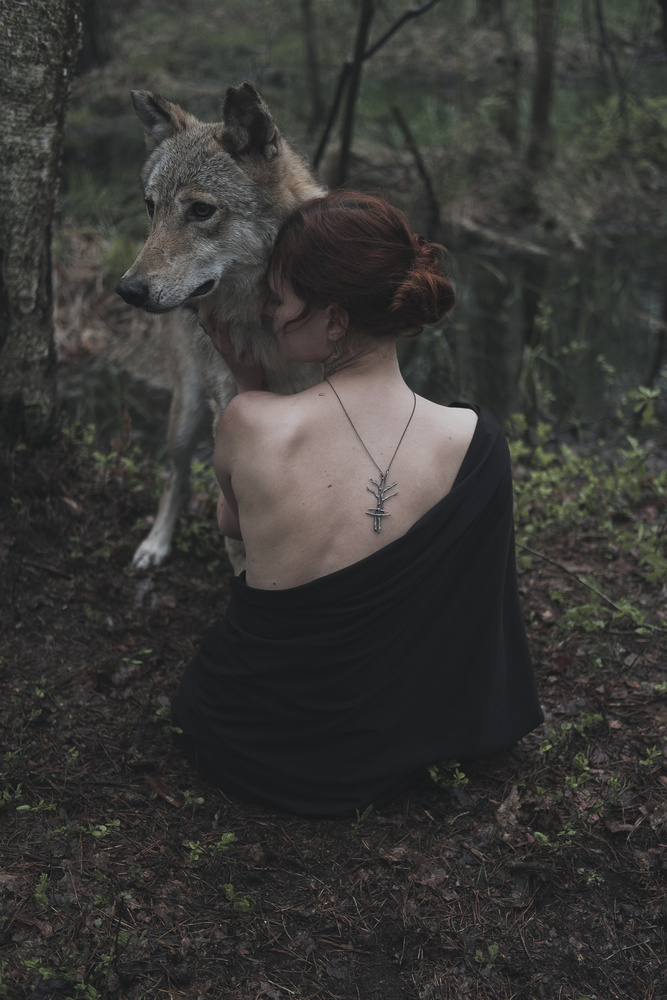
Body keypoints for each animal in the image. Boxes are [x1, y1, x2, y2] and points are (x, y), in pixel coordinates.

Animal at [116, 82, 324, 570]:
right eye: (151, 207)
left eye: (200, 210)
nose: (128, 289)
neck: (265, 320)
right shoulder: (232, 409)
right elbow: (240, 533)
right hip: (189, 413)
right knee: (175, 475)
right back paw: (156, 544)